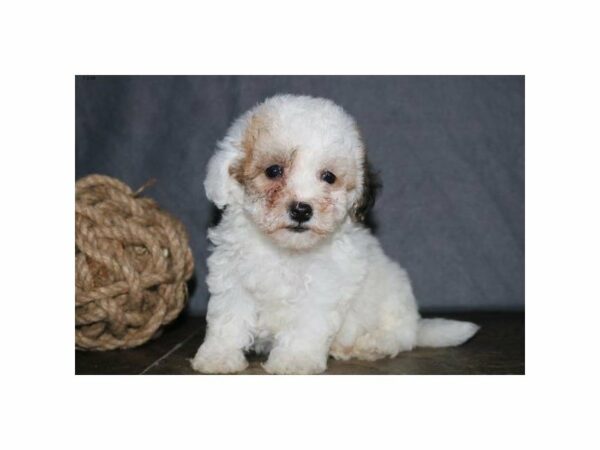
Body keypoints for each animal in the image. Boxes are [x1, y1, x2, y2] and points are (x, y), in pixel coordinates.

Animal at [192, 93, 478, 374]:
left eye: (328, 177)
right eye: (273, 170)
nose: (301, 210)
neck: (286, 250)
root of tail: (416, 325)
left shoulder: (321, 288)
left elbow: (305, 326)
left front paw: (295, 360)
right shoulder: (233, 279)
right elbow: (228, 320)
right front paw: (218, 357)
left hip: (393, 300)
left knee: (399, 337)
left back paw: (369, 345)